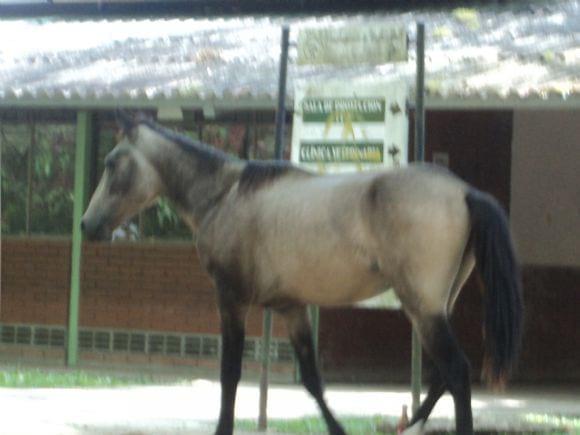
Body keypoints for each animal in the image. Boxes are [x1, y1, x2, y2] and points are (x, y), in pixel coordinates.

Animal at [80, 112, 520, 435]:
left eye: (111, 163)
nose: (87, 225)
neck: (224, 195)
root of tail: (463, 191)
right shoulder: (291, 307)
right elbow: (312, 379)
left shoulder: (231, 300)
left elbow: (230, 374)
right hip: (435, 306)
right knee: (443, 375)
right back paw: (411, 421)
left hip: (423, 308)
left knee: (457, 371)